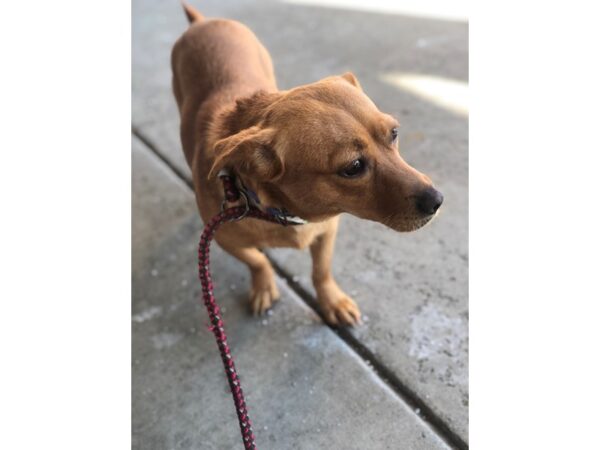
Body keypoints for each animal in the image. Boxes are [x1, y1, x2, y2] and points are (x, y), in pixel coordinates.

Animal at [171, 3, 442, 326]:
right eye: (353, 167)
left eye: (394, 133)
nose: (437, 200)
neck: (282, 211)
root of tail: (202, 22)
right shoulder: (226, 241)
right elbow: (258, 261)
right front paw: (264, 285)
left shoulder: (327, 232)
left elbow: (321, 271)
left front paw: (332, 301)